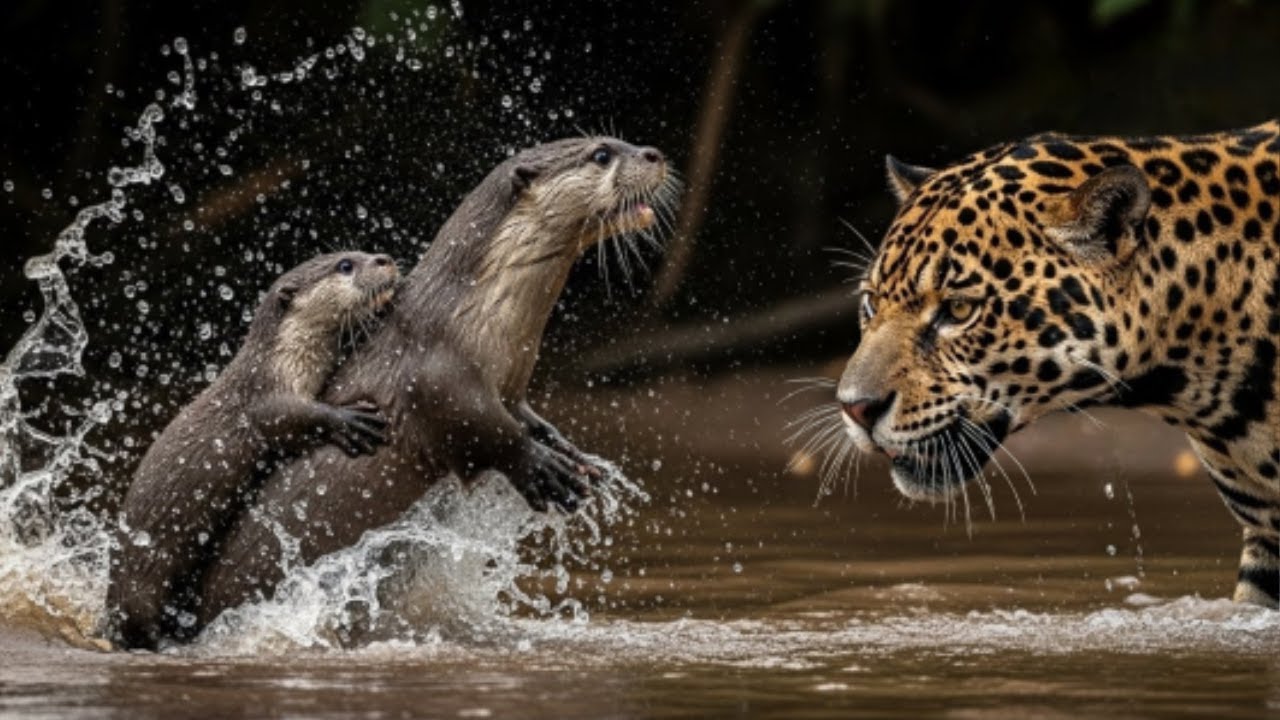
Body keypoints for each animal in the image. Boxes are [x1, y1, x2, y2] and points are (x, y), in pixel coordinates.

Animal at [110, 251, 400, 649]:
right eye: (345, 265)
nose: (385, 259)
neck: (286, 354)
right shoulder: (266, 392)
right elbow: (289, 418)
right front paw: (346, 419)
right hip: (141, 580)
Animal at [195, 137, 675, 628]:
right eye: (602, 154)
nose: (654, 154)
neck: (473, 312)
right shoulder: (438, 376)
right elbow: (482, 427)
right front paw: (539, 464)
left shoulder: (511, 386)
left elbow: (526, 417)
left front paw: (569, 451)